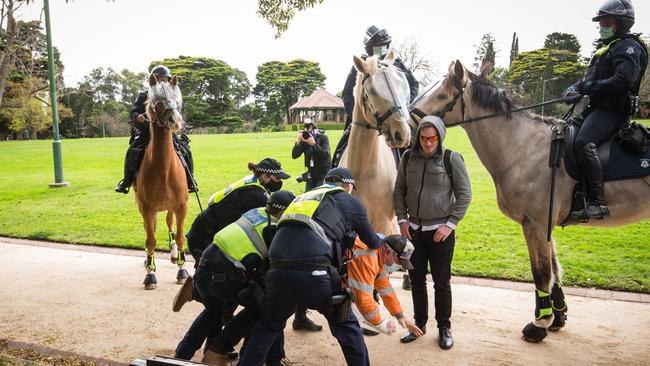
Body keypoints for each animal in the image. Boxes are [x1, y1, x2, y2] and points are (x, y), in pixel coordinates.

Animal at [134, 73, 189, 290]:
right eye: (156, 99)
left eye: (176, 97)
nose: (175, 120)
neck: (163, 168)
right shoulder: (146, 207)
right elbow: (150, 240)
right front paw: (150, 274)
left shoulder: (181, 205)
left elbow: (181, 237)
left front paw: (182, 269)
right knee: (152, 229)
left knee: (169, 222)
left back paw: (173, 254)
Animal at [410, 60, 648, 344]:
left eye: (441, 96)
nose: (410, 123)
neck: (525, 148)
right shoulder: (543, 226)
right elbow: (554, 270)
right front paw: (557, 317)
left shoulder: (535, 224)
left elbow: (542, 272)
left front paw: (539, 324)